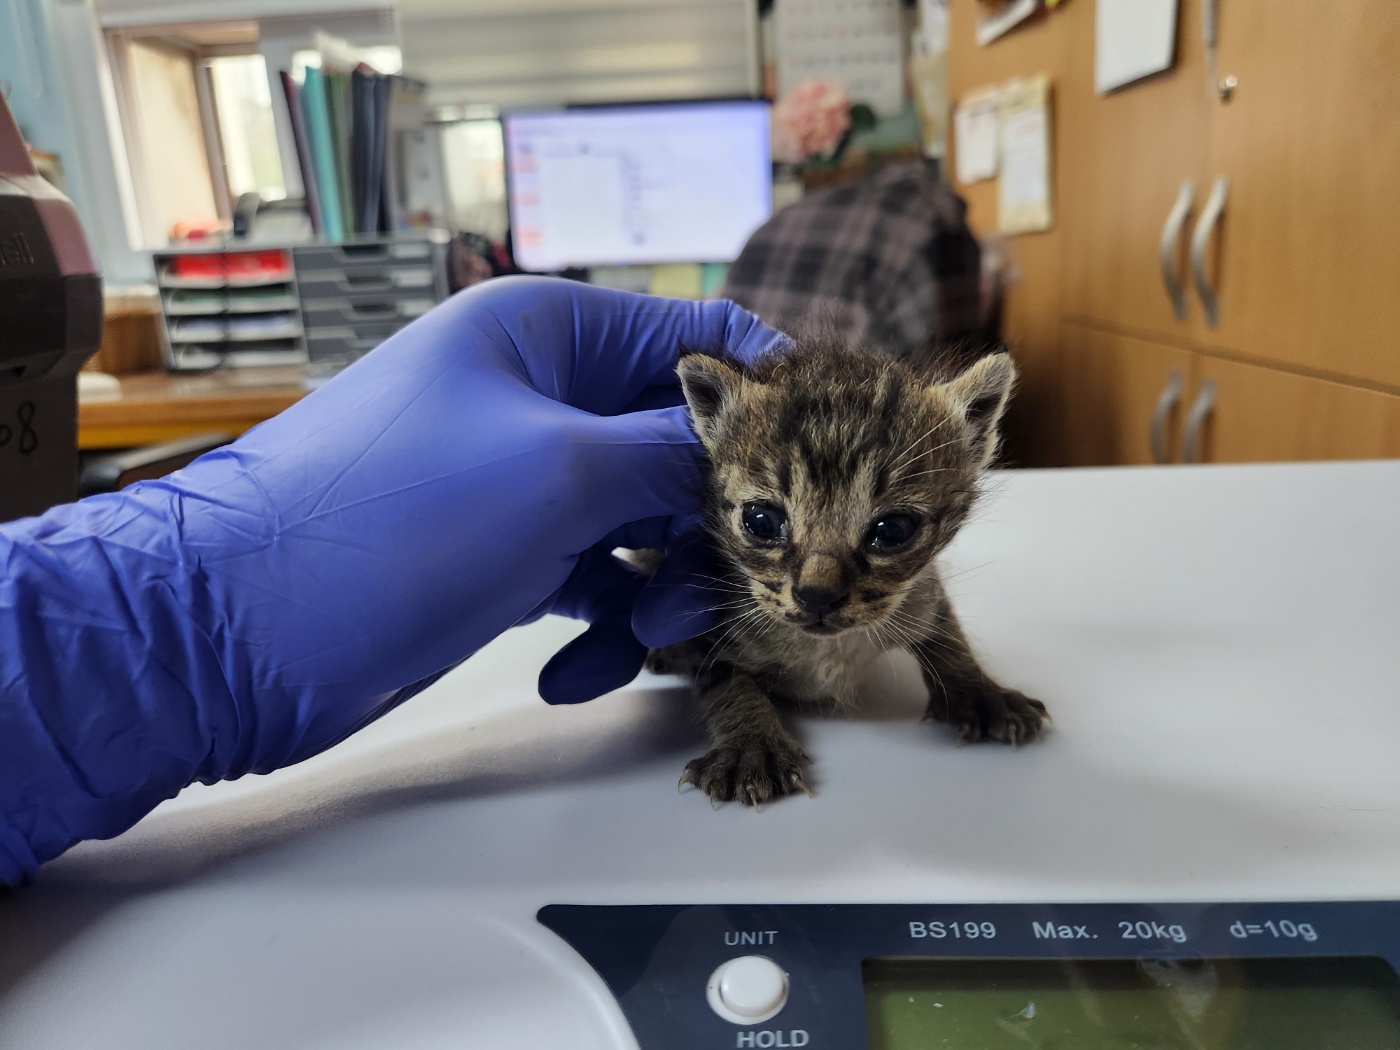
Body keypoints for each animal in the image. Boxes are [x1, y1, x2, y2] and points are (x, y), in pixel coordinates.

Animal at [649, 341, 1047, 812]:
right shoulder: (711, 625)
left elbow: (948, 634)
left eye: (892, 530)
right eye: (762, 521)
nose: (817, 596)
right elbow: (727, 682)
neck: (828, 648)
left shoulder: (922, 591)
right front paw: (750, 747)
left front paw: (982, 694)